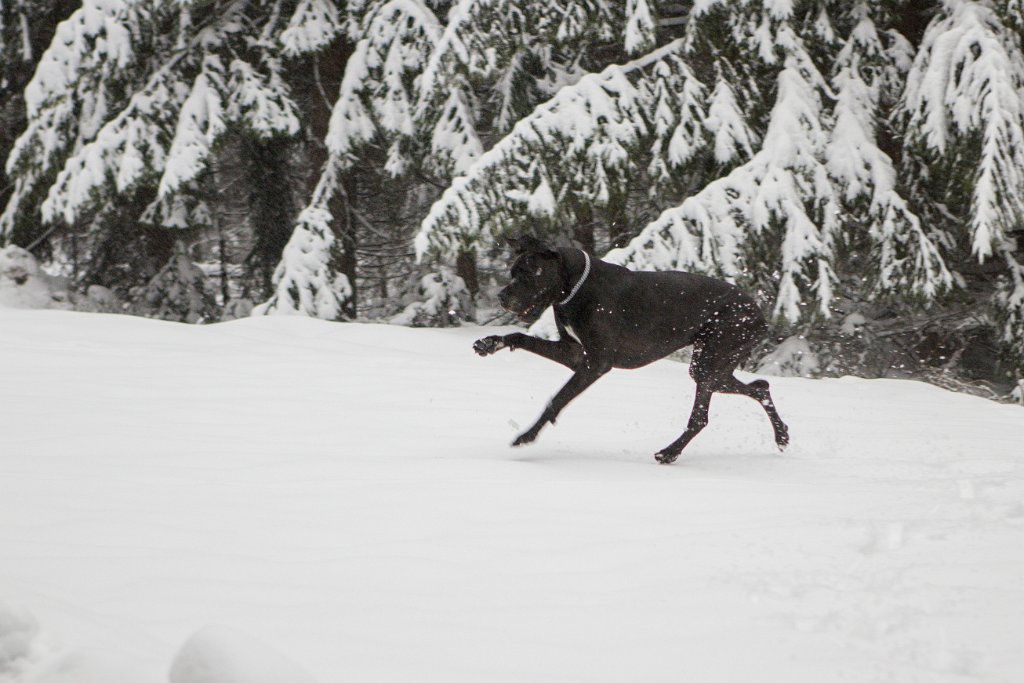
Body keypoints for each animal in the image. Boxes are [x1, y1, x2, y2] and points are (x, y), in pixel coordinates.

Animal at [475, 235, 786, 464]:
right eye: (512, 272)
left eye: (528, 273)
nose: (502, 296)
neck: (574, 288)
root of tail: (759, 316)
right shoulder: (575, 355)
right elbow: (520, 338)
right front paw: (491, 343)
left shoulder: (596, 364)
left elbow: (557, 400)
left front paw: (526, 437)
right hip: (715, 367)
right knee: (760, 386)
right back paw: (781, 435)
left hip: (711, 360)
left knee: (700, 418)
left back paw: (670, 453)